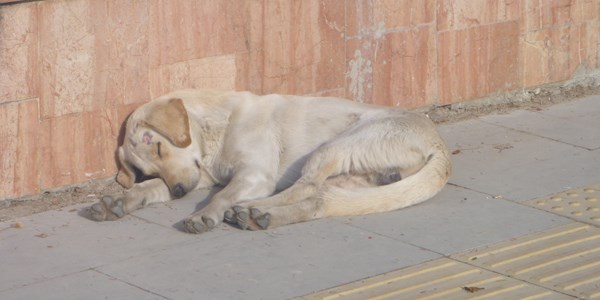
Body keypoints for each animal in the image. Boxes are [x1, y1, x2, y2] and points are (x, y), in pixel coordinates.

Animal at [90, 90, 450, 233]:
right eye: (145, 168)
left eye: (158, 147)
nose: (179, 192)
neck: (219, 124)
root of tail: (439, 143)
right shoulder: (200, 176)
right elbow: (151, 187)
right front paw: (119, 201)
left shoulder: (254, 175)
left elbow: (222, 196)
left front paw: (205, 213)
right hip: (353, 176)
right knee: (318, 199)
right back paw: (263, 216)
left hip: (336, 146)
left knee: (305, 186)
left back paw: (251, 210)